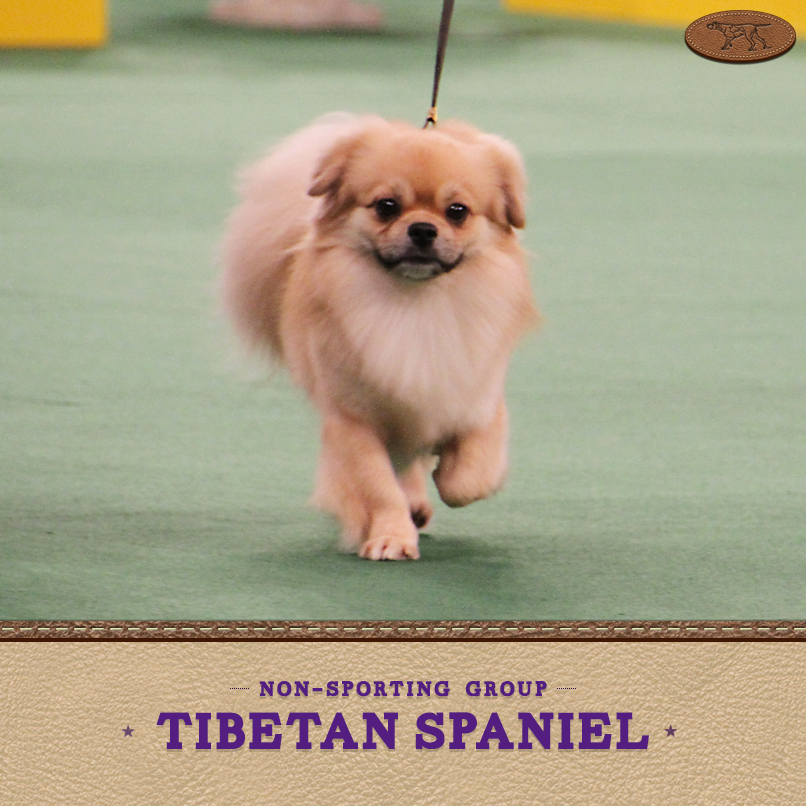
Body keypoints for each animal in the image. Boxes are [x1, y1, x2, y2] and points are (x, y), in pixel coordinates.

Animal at [219, 114, 537, 560]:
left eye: (457, 212)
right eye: (387, 206)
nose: (422, 229)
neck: (416, 306)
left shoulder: (476, 400)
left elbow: (470, 479)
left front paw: (449, 472)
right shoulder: (353, 422)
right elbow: (379, 486)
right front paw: (391, 536)